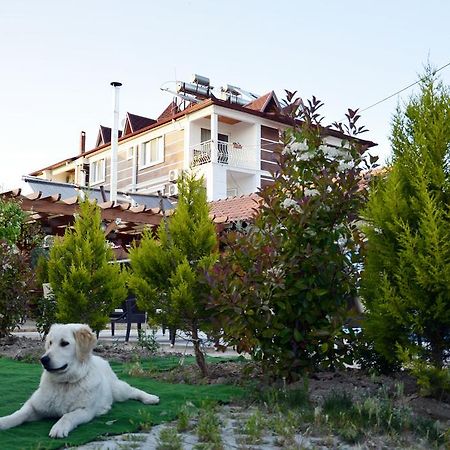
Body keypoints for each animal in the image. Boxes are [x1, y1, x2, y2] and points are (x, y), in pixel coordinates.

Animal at [0, 326, 160, 438]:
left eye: (64, 343)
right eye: (50, 343)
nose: (43, 359)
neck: (65, 384)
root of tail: (100, 358)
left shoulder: (85, 411)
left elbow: (67, 416)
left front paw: (59, 427)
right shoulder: (34, 406)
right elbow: (19, 414)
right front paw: (4, 421)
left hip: (118, 390)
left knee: (133, 390)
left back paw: (150, 398)